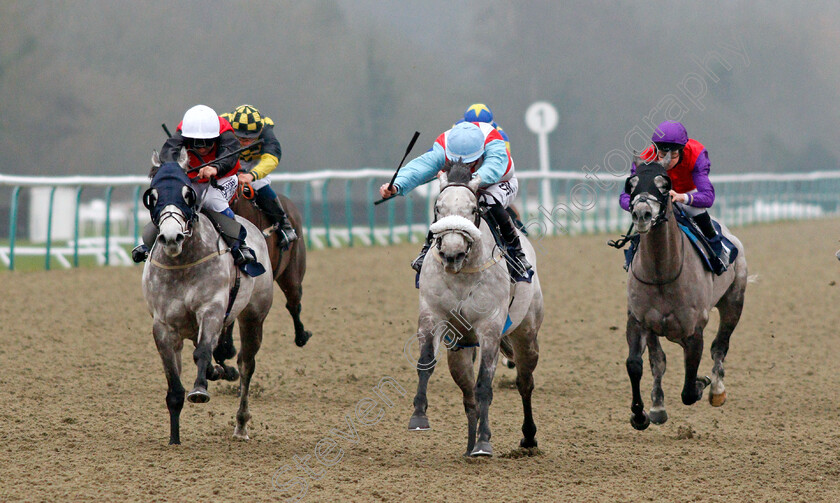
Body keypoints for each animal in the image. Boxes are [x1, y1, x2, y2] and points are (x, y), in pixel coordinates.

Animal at [143, 150, 274, 444]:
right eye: (153, 196)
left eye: (187, 194)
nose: (171, 237)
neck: (182, 264)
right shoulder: (163, 326)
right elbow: (174, 384)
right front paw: (174, 438)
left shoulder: (211, 310)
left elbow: (203, 351)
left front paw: (200, 389)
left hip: (254, 317)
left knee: (246, 365)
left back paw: (241, 423)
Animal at [408, 160, 544, 456]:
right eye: (438, 208)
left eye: (473, 209)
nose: (452, 253)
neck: (463, 273)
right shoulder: (432, 315)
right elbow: (426, 363)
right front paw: (419, 416)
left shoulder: (490, 327)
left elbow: (485, 385)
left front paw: (484, 443)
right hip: (460, 349)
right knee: (468, 395)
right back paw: (469, 446)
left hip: (527, 335)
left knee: (525, 382)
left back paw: (528, 438)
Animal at [624, 156, 748, 432]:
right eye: (632, 184)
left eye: (663, 185)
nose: (642, 214)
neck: (662, 272)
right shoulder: (639, 321)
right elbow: (638, 364)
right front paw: (641, 414)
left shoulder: (694, 331)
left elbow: (689, 390)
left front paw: (703, 384)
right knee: (659, 360)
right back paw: (657, 405)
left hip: (733, 302)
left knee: (720, 346)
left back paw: (717, 390)